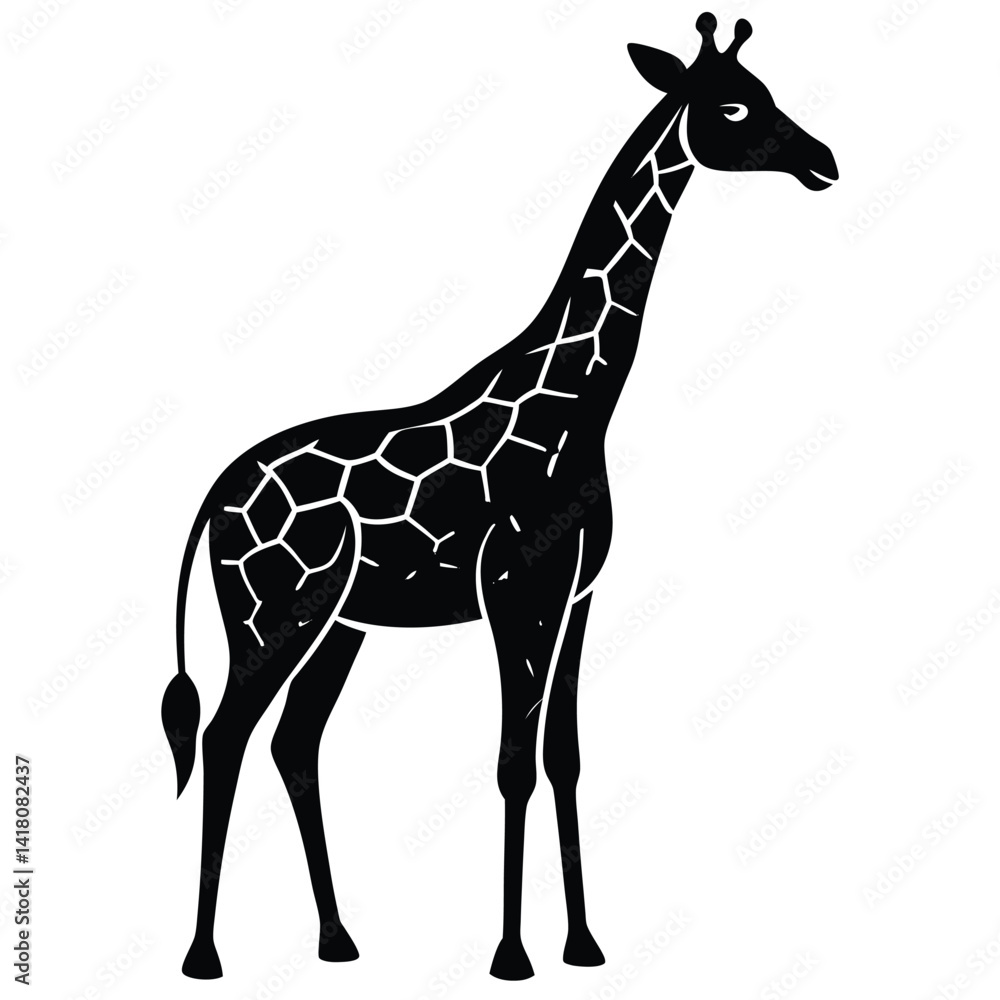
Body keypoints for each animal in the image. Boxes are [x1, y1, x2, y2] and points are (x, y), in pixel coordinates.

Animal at [162, 12, 838, 982]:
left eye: (770, 92)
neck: (581, 406)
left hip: (339, 625)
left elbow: (563, 755)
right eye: (736, 105)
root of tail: (215, 495)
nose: (826, 160)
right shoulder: (514, 586)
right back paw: (204, 957)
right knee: (224, 738)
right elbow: (512, 760)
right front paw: (512, 956)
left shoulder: (578, 592)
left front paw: (585, 945)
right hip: (269, 615)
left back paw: (338, 941)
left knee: (294, 743)